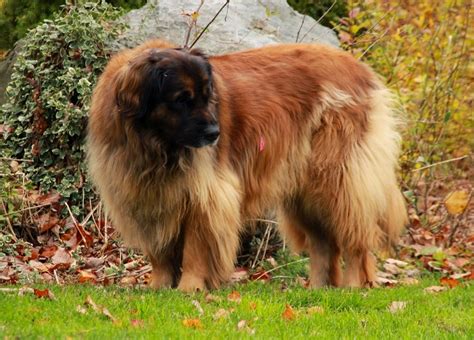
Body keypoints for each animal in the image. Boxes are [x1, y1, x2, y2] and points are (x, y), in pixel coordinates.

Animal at [88, 38, 408, 290]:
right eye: (182, 99)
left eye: (207, 97)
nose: (214, 133)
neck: (156, 146)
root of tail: (360, 68)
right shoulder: (147, 196)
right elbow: (160, 252)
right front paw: (160, 286)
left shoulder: (207, 197)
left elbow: (195, 249)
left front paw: (190, 287)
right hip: (305, 189)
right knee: (323, 243)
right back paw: (318, 289)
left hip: (338, 180)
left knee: (355, 237)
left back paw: (354, 285)